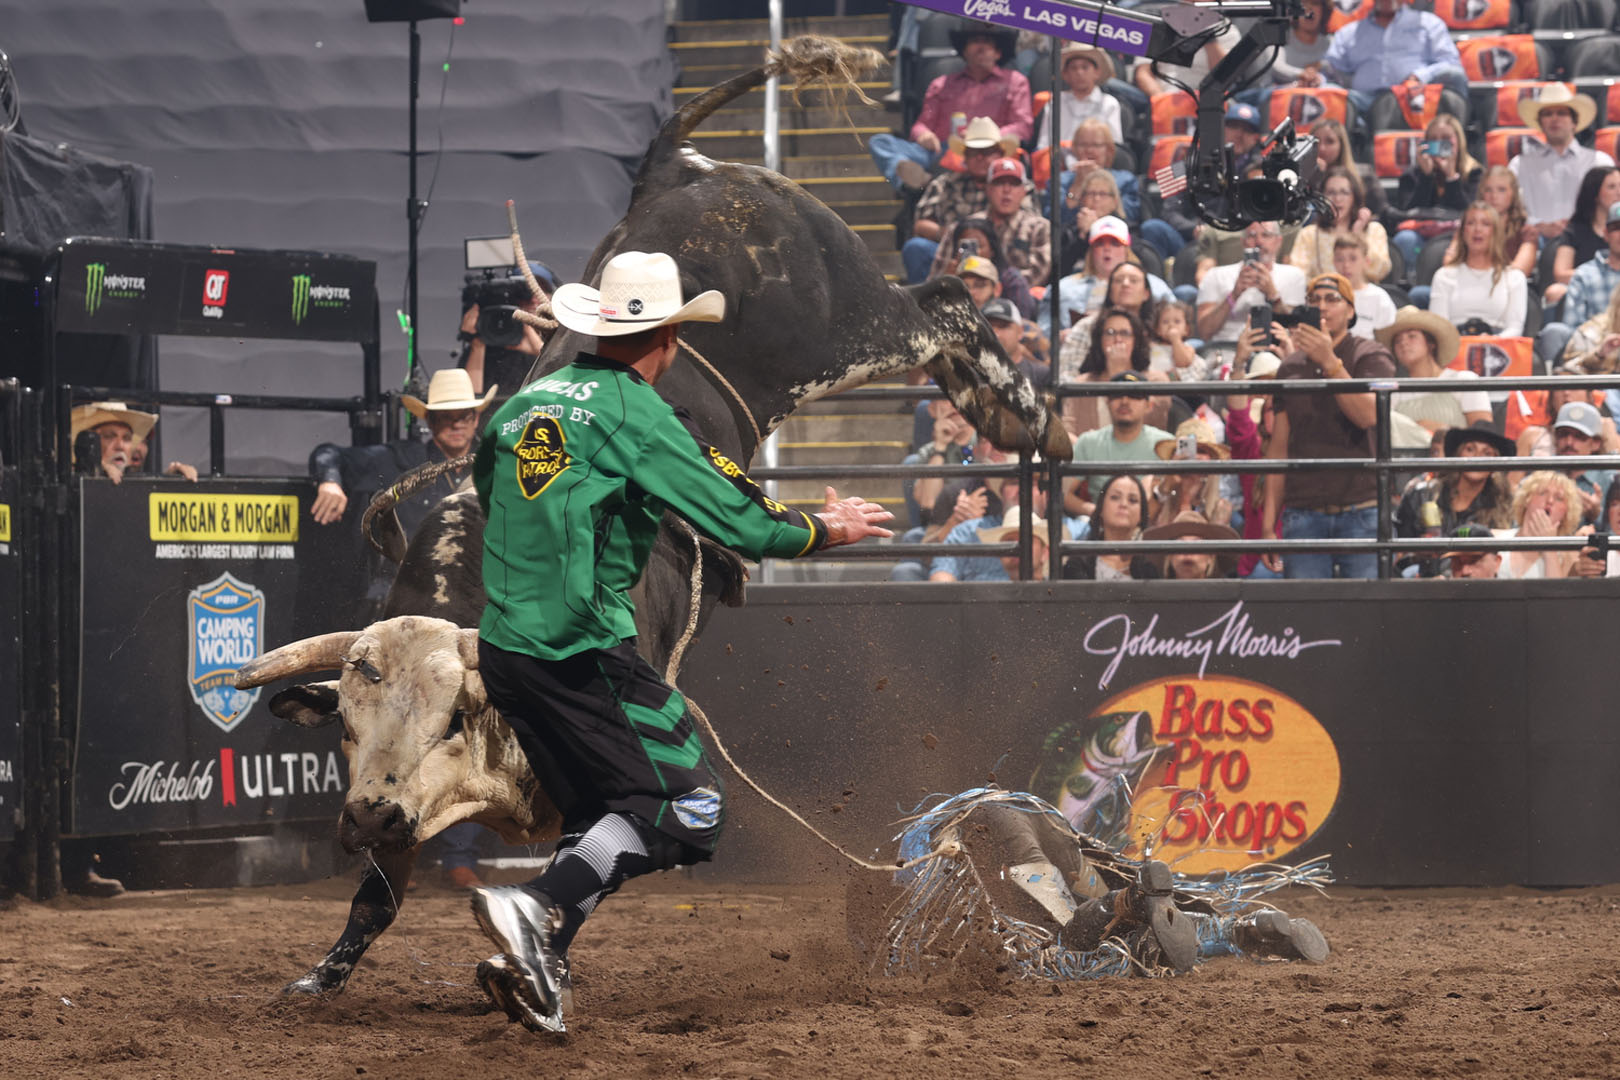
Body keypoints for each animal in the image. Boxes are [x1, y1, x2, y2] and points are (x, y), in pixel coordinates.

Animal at [237, 33, 1070, 997]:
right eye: (346, 721)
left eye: (451, 720)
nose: (366, 816)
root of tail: (678, 170)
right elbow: (377, 897)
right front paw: (320, 979)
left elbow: (595, 864)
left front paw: (536, 960)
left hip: (844, 323)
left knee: (944, 305)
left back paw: (1028, 418)